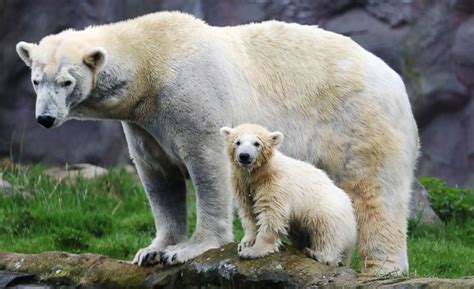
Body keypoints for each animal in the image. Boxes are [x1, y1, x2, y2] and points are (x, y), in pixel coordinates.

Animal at [218, 122, 356, 264]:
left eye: (256, 143)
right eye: (238, 142)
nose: (244, 156)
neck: (259, 174)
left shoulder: (274, 184)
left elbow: (271, 213)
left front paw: (253, 251)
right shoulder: (242, 185)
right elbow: (248, 212)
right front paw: (245, 243)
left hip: (327, 208)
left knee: (326, 230)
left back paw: (318, 254)